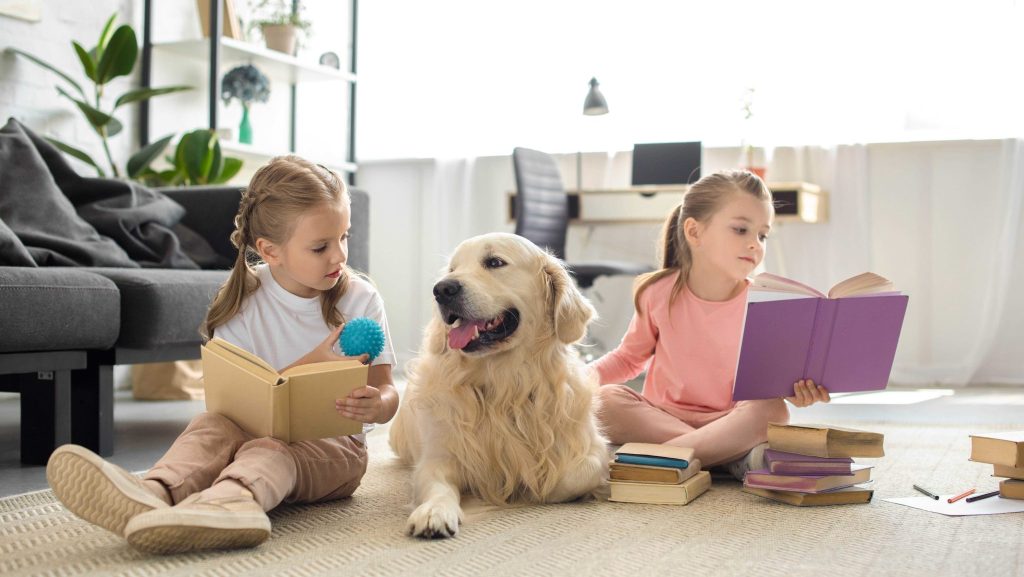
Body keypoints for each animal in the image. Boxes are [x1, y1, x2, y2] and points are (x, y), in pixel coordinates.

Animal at [385, 232, 606, 541]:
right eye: (452, 268)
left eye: (494, 262)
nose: (441, 290)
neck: (504, 382)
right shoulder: (437, 456)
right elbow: (438, 486)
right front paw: (434, 512)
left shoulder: (594, 449)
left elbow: (572, 476)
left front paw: (532, 487)